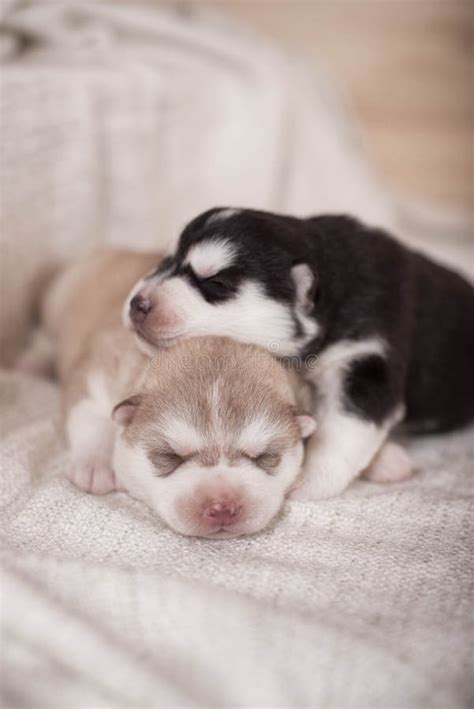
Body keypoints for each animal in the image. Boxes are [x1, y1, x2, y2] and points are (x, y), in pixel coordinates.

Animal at [39, 250, 314, 536]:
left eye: (264, 457)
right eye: (170, 456)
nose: (222, 507)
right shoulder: (97, 372)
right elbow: (91, 413)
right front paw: (95, 466)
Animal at [123, 207, 474, 500]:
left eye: (216, 282)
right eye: (164, 262)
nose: (137, 304)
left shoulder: (369, 359)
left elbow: (344, 428)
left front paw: (310, 479)